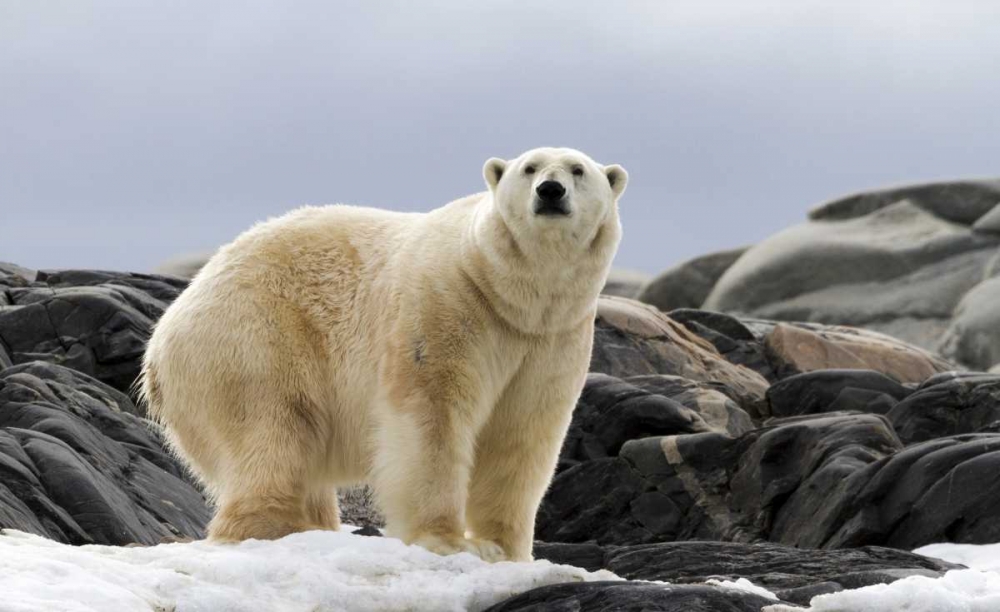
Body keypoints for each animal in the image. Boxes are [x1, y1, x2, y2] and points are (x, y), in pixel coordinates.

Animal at [140, 147, 627, 562]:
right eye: (529, 168)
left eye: (578, 170)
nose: (550, 190)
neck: (506, 292)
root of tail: (161, 339)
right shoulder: (446, 307)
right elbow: (433, 418)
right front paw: (445, 541)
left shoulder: (551, 338)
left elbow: (522, 432)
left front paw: (504, 549)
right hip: (252, 337)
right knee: (271, 430)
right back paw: (275, 526)